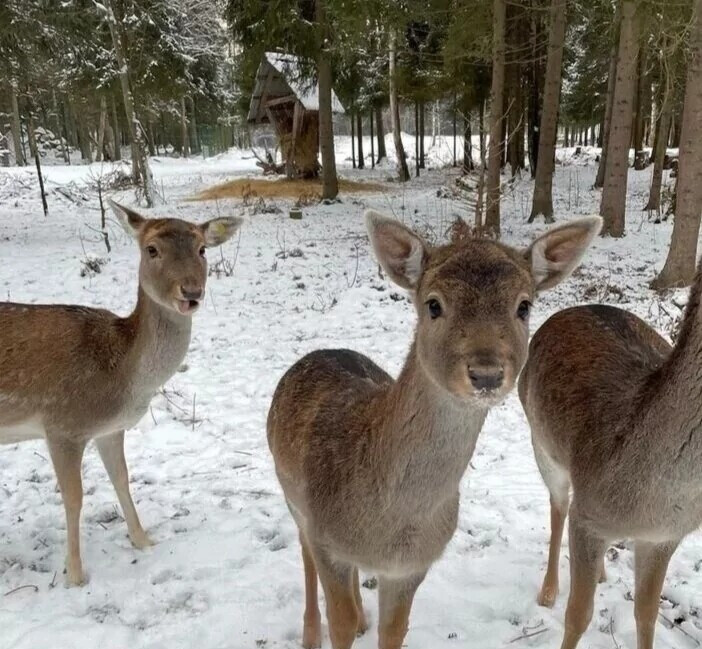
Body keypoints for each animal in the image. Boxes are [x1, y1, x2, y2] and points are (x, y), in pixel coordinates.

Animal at [0, 200, 242, 584]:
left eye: (203, 249)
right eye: (152, 249)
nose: (191, 293)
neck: (123, 380)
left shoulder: (110, 429)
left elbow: (122, 480)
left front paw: (143, 541)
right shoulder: (62, 425)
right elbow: (74, 497)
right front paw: (75, 574)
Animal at [266, 210, 604, 644]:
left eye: (524, 305)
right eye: (433, 304)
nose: (486, 373)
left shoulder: (414, 566)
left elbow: (394, 630)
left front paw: (368, 623)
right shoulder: (328, 542)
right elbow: (337, 621)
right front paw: (337, 628)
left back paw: (362, 618)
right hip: (291, 495)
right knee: (304, 550)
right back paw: (311, 633)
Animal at [520, 264, 702, 648]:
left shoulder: (666, 536)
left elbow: (646, 615)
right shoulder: (587, 519)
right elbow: (578, 615)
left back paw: (602, 573)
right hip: (541, 443)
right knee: (558, 506)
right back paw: (548, 591)